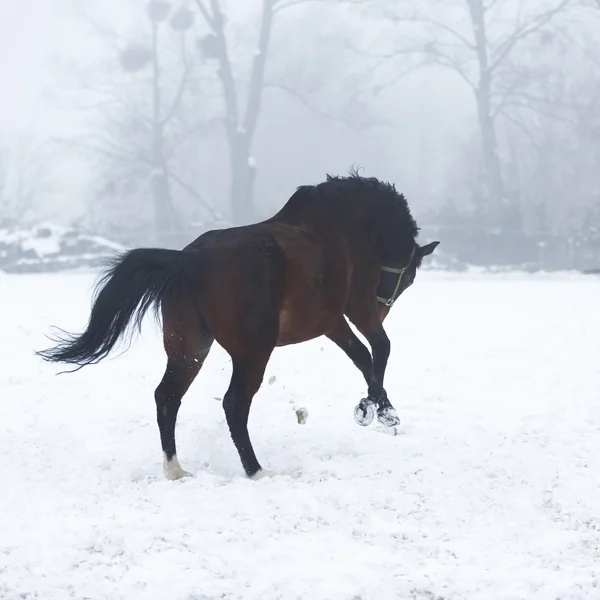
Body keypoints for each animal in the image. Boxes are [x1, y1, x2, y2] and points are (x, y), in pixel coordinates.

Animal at [38, 171, 440, 480]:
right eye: (409, 276)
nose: (386, 305)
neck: (344, 229)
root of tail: (188, 261)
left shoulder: (331, 321)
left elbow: (362, 357)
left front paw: (373, 407)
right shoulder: (354, 310)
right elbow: (379, 349)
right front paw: (378, 411)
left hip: (189, 349)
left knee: (167, 397)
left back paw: (175, 470)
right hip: (252, 352)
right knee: (233, 404)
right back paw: (255, 470)